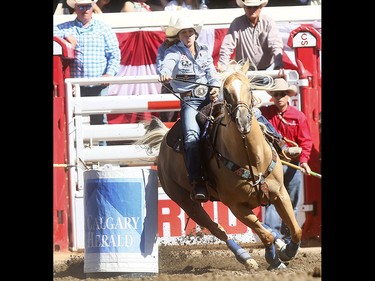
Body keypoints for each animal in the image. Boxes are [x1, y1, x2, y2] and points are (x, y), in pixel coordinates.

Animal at [137, 61, 304, 270]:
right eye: (226, 91)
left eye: (249, 89)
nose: (243, 120)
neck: (252, 160)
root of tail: (163, 146)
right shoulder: (236, 206)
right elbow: (263, 235)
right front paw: (273, 259)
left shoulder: (279, 193)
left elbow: (295, 230)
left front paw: (287, 252)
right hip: (186, 202)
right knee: (218, 230)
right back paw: (247, 259)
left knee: (262, 227)